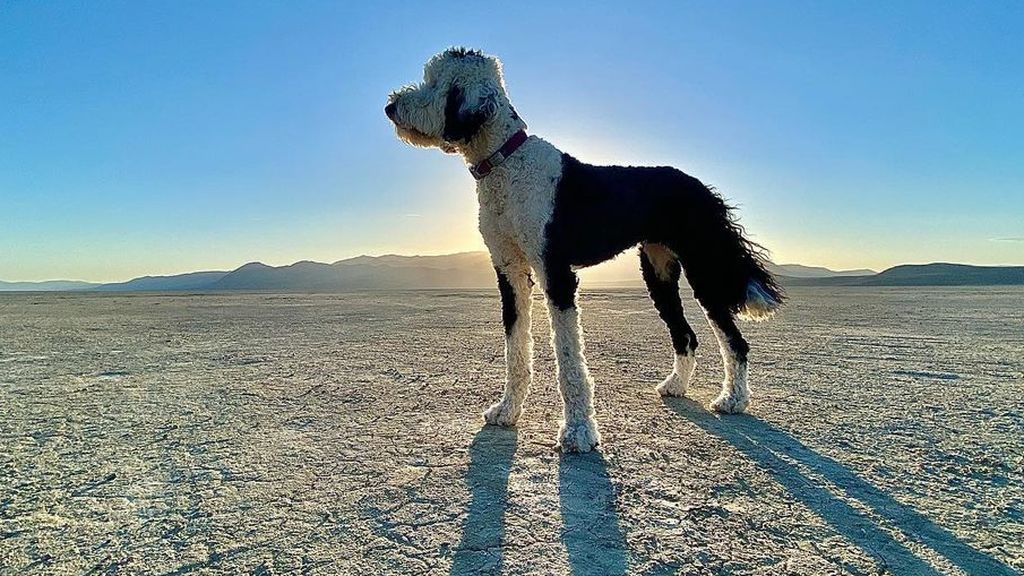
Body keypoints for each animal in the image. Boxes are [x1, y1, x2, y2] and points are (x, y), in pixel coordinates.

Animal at [385, 48, 782, 453]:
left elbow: (568, 358)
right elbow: (516, 350)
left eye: (436, 83)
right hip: (657, 270)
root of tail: (702, 188)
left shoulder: (556, 272)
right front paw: (508, 410)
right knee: (685, 335)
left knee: (734, 341)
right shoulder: (509, 271)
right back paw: (676, 386)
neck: (505, 160)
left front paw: (578, 431)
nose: (390, 107)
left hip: (703, 267)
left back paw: (733, 399)